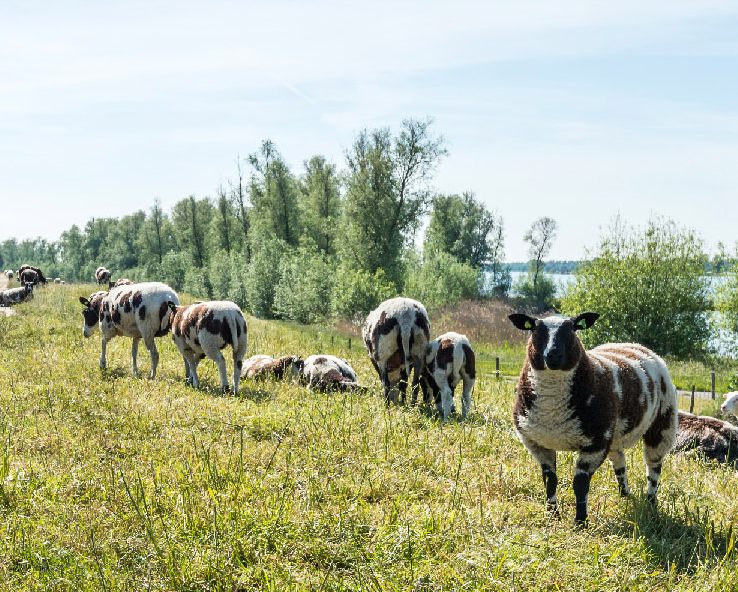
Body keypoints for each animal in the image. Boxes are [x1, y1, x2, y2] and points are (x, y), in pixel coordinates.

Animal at [508, 312, 676, 524]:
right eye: (534, 330)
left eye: (572, 329)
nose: (553, 356)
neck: (552, 410)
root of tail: (635, 345)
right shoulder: (536, 443)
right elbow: (550, 480)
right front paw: (552, 515)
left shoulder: (595, 444)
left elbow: (580, 484)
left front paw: (580, 522)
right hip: (614, 434)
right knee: (619, 461)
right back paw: (624, 495)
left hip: (663, 423)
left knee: (654, 468)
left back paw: (650, 502)